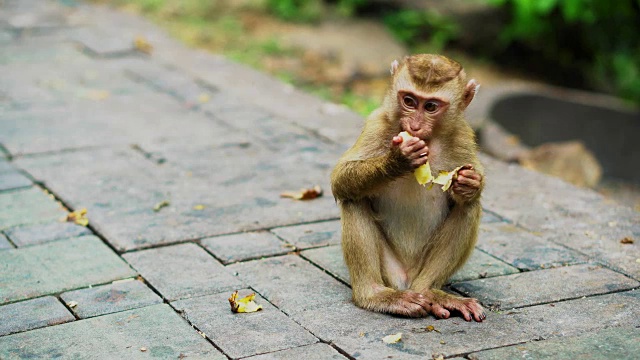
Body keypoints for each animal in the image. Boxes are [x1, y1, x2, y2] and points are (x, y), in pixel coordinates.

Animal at [330, 54, 484, 322]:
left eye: (430, 106)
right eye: (409, 101)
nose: (414, 125)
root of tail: (407, 280)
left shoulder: (463, 135)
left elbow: (470, 189)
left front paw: (469, 184)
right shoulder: (377, 123)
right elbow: (341, 178)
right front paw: (398, 159)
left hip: (421, 270)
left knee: (469, 208)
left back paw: (431, 293)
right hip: (389, 270)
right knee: (353, 198)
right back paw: (375, 295)